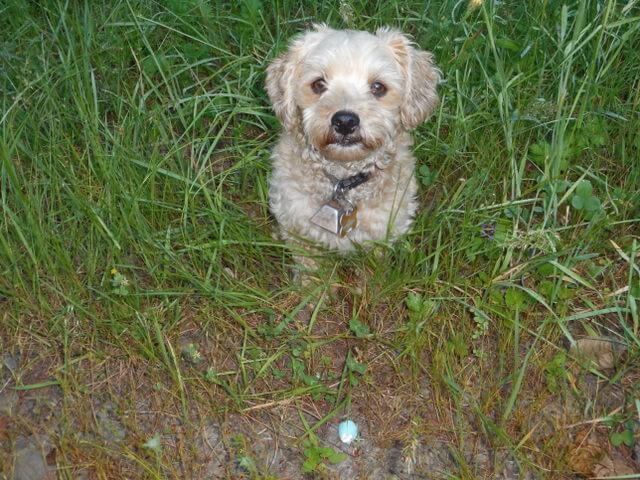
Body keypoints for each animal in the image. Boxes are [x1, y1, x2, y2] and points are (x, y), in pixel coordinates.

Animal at [264, 25, 440, 266]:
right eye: (318, 84)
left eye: (378, 87)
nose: (345, 121)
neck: (343, 181)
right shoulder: (298, 230)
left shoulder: (382, 235)